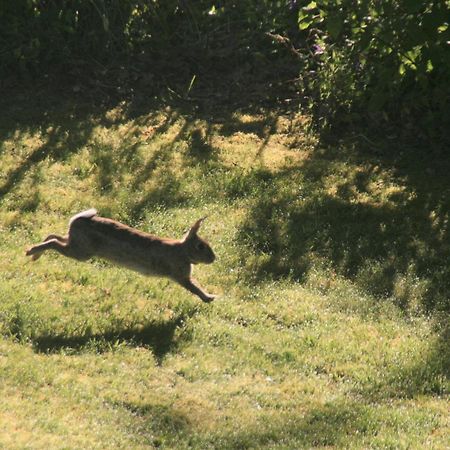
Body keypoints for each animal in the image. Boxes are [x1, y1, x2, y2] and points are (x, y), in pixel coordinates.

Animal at [25, 208, 217, 302]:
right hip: (81, 252)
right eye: (200, 246)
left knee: (54, 237)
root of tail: (77, 220)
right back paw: (30, 252)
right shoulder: (181, 276)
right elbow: (195, 287)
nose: (214, 259)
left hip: (75, 244)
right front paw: (209, 298)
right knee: (54, 243)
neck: (183, 250)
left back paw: (35, 256)